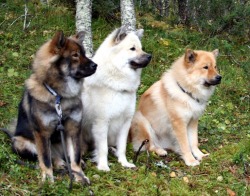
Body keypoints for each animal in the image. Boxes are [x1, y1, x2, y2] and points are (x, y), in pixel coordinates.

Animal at [83, 26, 151, 172]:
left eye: (141, 48)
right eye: (132, 48)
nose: (149, 56)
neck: (117, 87)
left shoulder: (125, 123)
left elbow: (122, 147)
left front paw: (124, 162)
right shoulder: (102, 123)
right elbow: (102, 148)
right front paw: (103, 166)